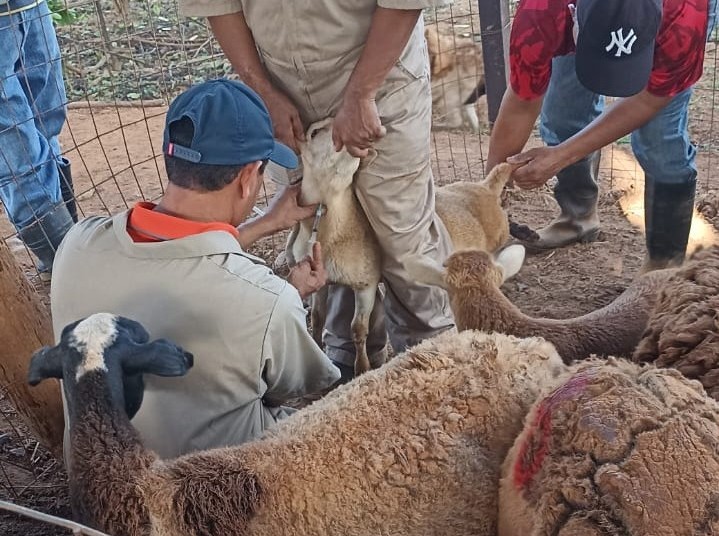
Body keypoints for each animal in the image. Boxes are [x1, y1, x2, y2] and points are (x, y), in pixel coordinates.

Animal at [286, 117, 516, 374]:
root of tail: (486, 187)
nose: (348, 134)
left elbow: (358, 329)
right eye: (314, 133)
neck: (331, 231)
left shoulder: (366, 281)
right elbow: (317, 318)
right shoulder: (320, 278)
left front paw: (362, 367)